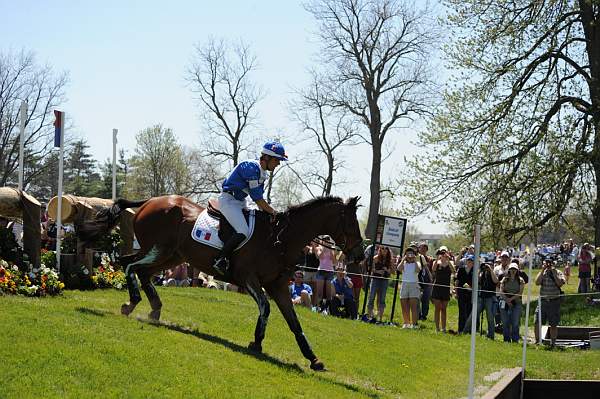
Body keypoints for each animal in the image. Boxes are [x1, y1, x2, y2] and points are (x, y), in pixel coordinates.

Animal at [77, 196, 364, 372]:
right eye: (350, 223)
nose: (360, 255)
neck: (280, 240)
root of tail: (150, 200)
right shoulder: (249, 279)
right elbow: (265, 308)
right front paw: (256, 343)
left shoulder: (278, 287)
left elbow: (294, 323)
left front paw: (313, 359)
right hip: (158, 249)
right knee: (129, 265)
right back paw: (132, 303)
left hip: (172, 255)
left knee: (142, 272)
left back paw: (154, 308)